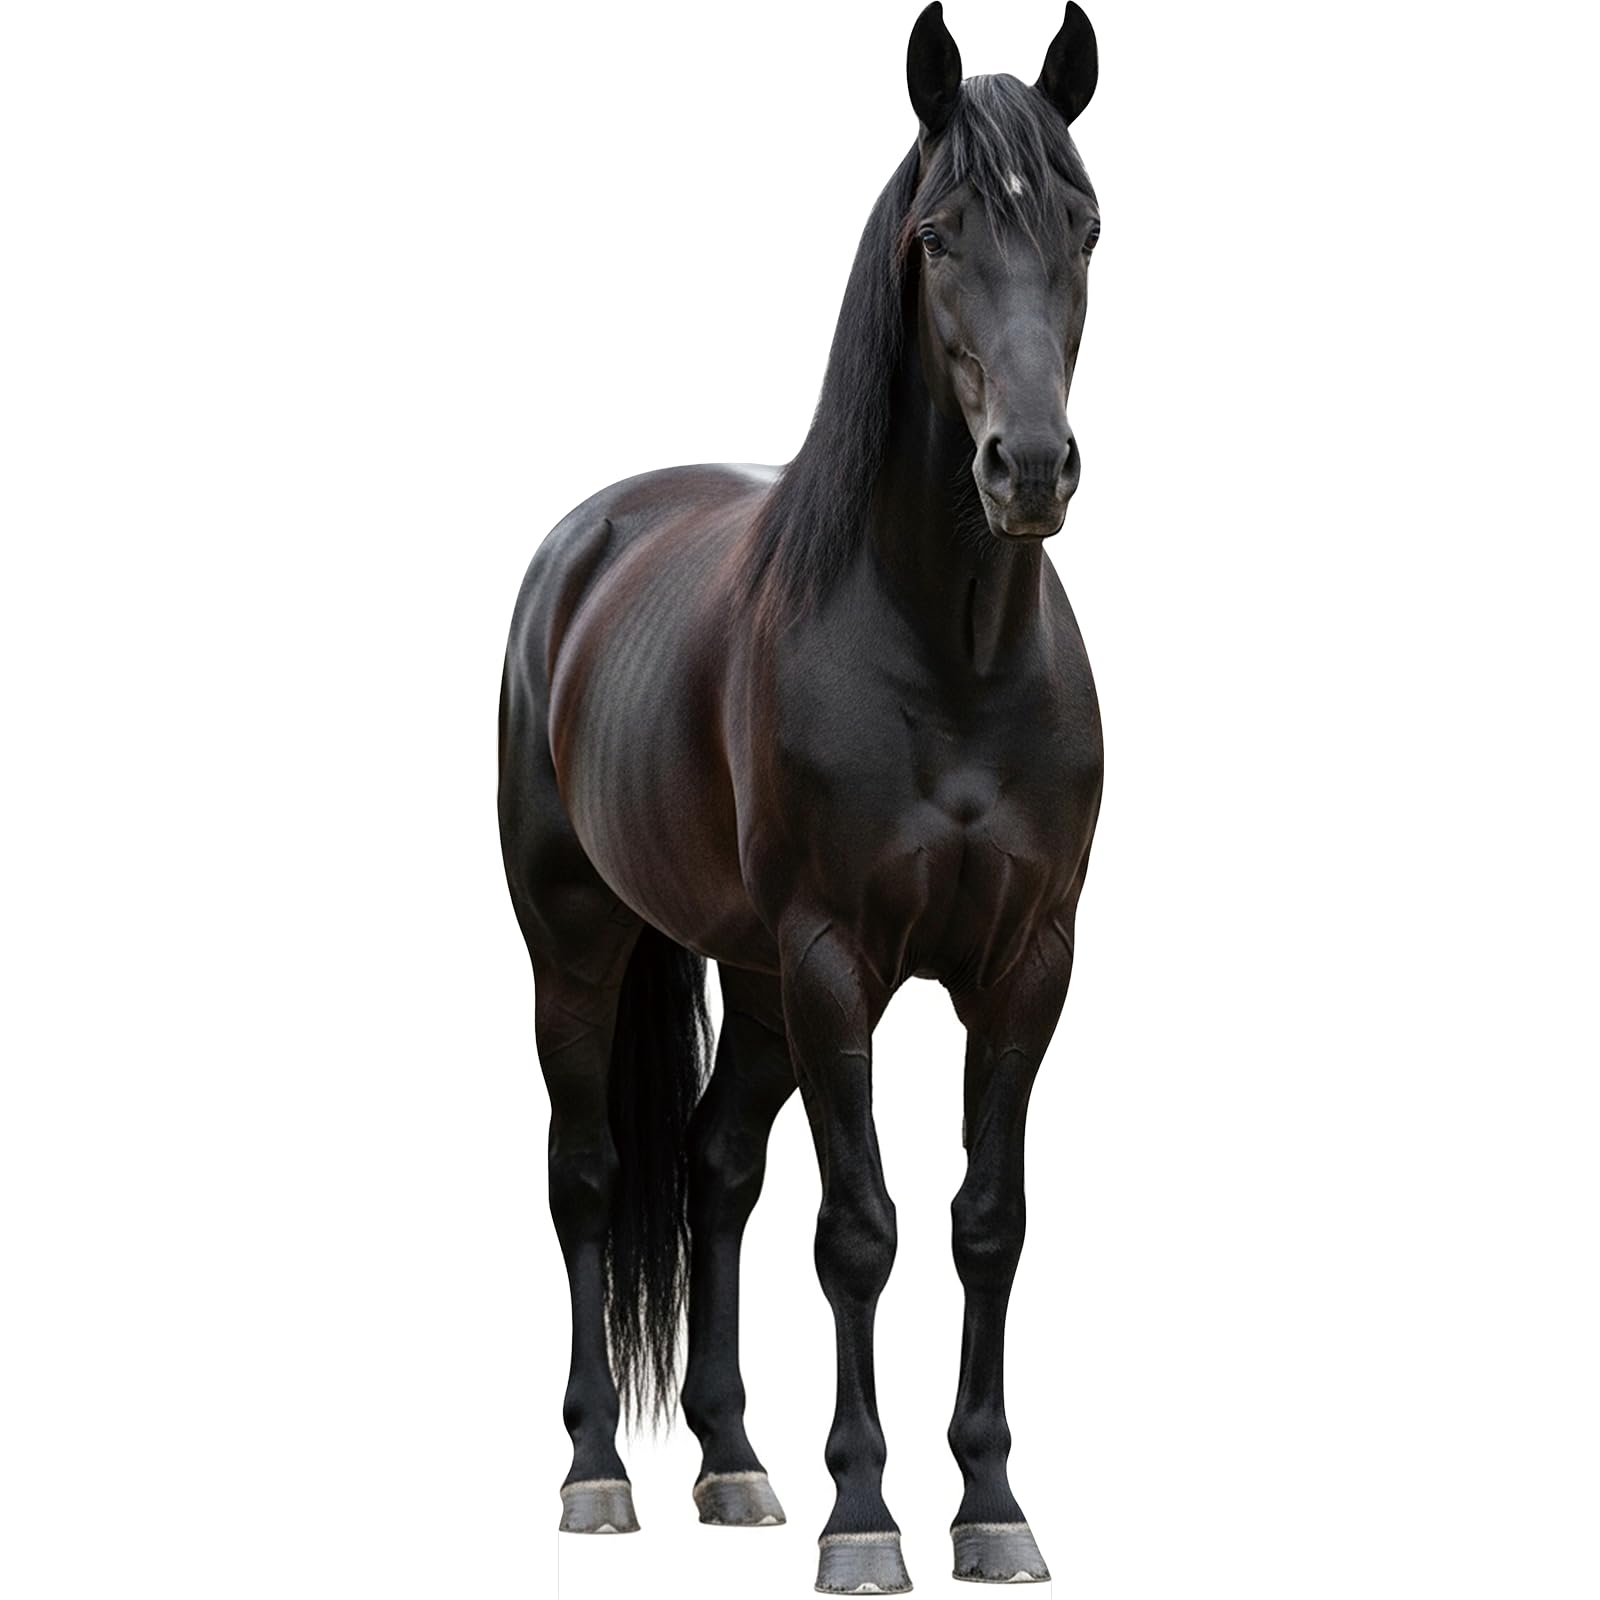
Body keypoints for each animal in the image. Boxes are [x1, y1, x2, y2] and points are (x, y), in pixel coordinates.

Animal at [498, 4, 1103, 1589]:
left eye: (1083, 225)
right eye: (939, 234)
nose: (1030, 467)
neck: (950, 657)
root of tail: (584, 546)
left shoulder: (1025, 967)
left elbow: (986, 1223)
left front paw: (992, 1505)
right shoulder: (839, 963)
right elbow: (861, 1232)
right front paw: (867, 1518)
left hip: (758, 982)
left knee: (714, 1168)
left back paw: (730, 1461)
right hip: (581, 945)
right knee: (590, 1176)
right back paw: (597, 1473)